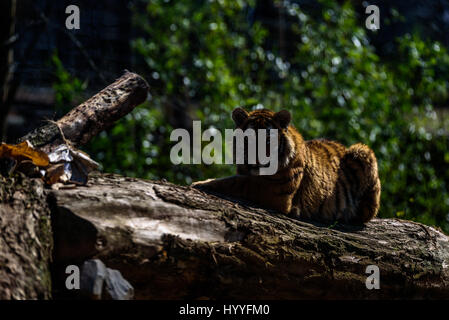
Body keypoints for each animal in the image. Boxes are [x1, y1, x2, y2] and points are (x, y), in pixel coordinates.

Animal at [191, 107, 380, 225]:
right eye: (248, 140)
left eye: (268, 141)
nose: (257, 160)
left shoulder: (274, 191)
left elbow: (236, 181)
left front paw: (200, 183)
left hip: (361, 151)